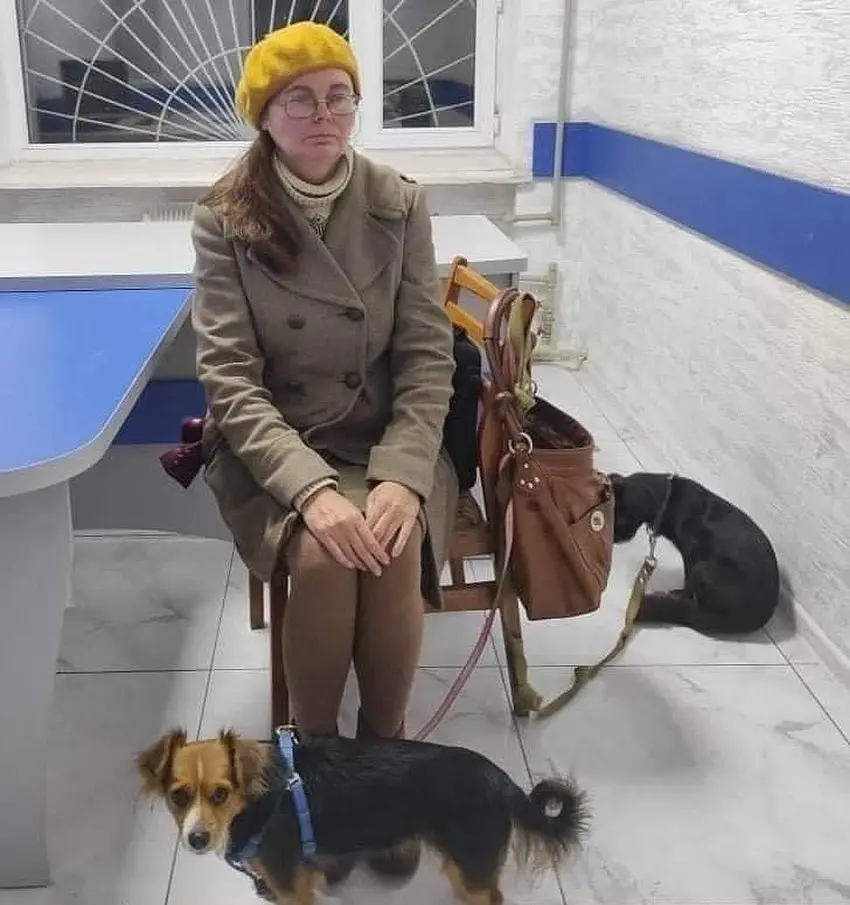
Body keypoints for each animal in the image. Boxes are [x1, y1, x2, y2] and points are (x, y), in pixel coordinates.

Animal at [135, 727, 588, 905]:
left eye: (221, 793)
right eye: (178, 796)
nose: (196, 839)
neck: (256, 800)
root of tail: (504, 781)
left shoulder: (291, 887)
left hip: (472, 863)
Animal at [609, 472, 780, 635]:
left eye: (617, 518)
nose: (613, 541)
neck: (668, 500)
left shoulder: (691, 556)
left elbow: (688, 581)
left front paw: (680, 594)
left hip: (703, 569)